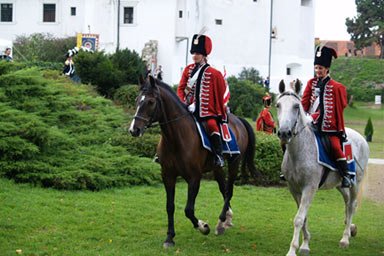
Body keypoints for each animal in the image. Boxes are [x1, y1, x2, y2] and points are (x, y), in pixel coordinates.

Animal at [129, 75, 258, 248]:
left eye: (150, 102)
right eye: (137, 100)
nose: (134, 130)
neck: (176, 138)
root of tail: (237, 119)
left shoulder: (194, 178)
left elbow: (188, 209)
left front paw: (203, 226)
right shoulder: (168, 176)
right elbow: (170, 206)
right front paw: (169, 237)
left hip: (234, 163)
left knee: (229, 190)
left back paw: (221, 222)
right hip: (217, 168)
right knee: (223, 188)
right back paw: (227, 218)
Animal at [276, 80, 368, 256]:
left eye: (296, 106)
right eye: (278, 105)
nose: (284, 133)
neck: (298, 152)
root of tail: (361, 138)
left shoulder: (309, 188)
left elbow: (299, 218)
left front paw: (292, 250)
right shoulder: (294, 188)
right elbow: (303, 217)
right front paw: (305, 245)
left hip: (356, 182)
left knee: (352, 205)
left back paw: (345, 238)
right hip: (340, 184)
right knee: (347, 203)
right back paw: (349, 229)